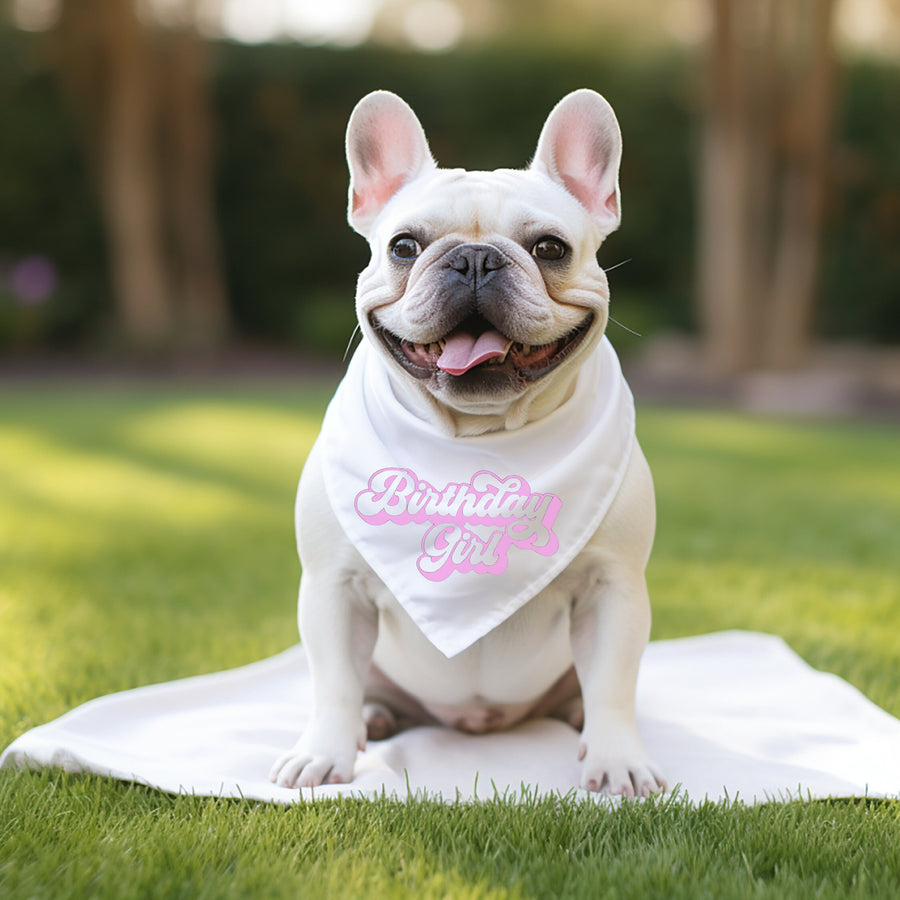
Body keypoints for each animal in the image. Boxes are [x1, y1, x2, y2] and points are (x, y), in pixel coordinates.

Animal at [266, 89, 660, 796]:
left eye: (551, 247)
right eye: (403, 245)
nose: (475, 257)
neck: (478, 438)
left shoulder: (614, 588)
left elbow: (615, 681)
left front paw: (618, 758)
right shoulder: (334, 588)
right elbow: (332, 680)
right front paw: (325, 752)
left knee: (590, 688)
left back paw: (577, 716)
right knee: (360, 684)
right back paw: (374, 715)